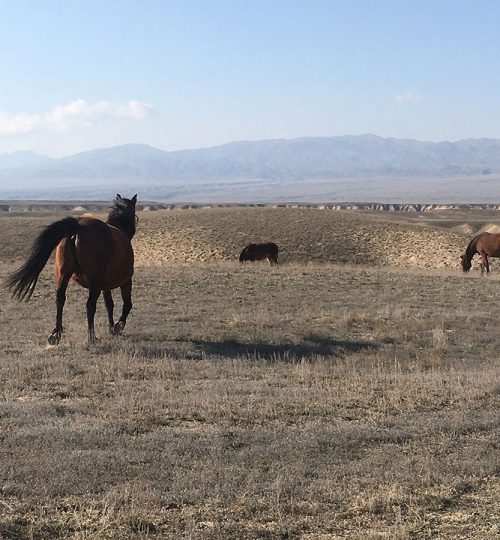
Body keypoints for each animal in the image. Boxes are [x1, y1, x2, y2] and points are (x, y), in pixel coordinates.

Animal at [6, 195, 139, 346]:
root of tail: (77, 225)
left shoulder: (106, 286)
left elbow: (109, 305)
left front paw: (111, 328)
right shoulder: (126, 281)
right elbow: (127, 304)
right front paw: (117, 326)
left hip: (63, 275)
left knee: (60, 299)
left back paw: (56, 333)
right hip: (94, 282)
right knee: (90, 305)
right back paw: (91, 337)